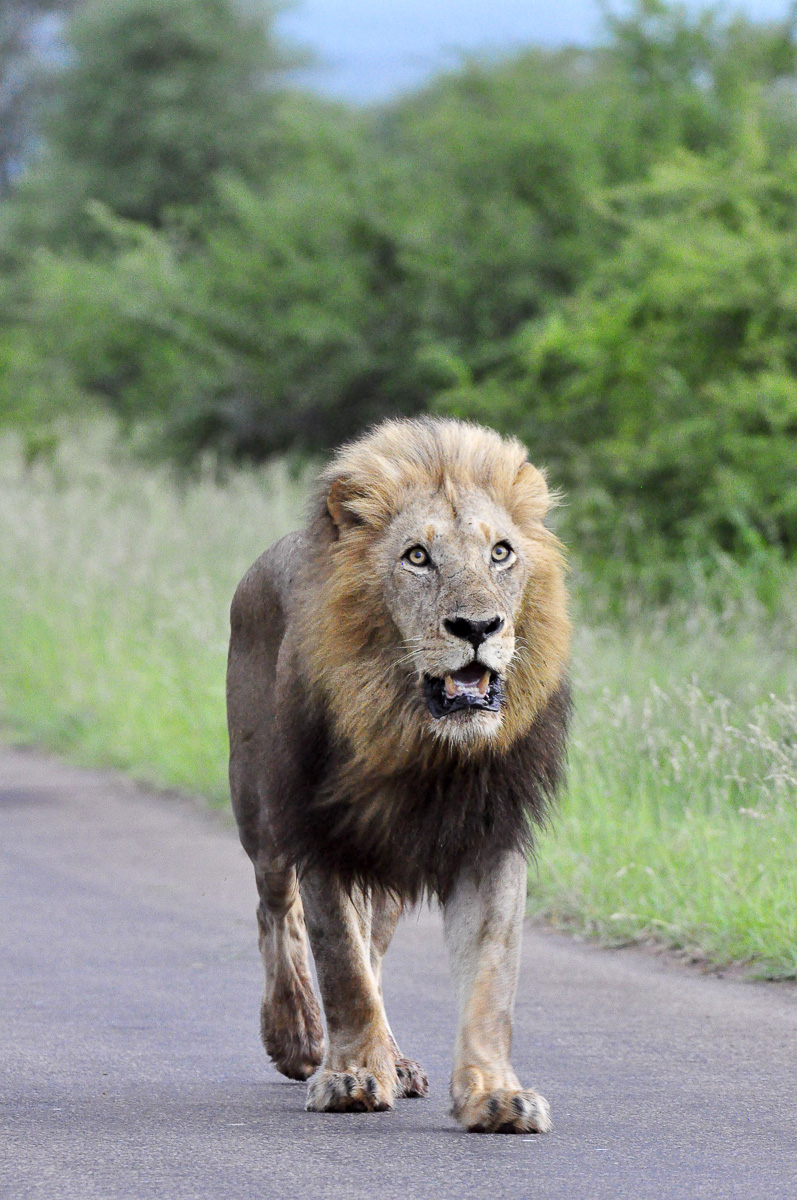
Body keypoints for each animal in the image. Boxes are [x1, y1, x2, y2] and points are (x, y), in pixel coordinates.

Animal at [227, 416, 571, 1133]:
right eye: (417, 557)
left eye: (501, 553)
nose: (478, 626)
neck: (421, 745)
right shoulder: (322, 834)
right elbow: (341, 965)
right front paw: (351, 1076)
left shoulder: (492, 836)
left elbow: (490, 978)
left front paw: (495, 1095)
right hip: (261, 812)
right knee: (276, 913)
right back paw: (297, 1036)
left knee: (374, 947)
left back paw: (396, 1059)